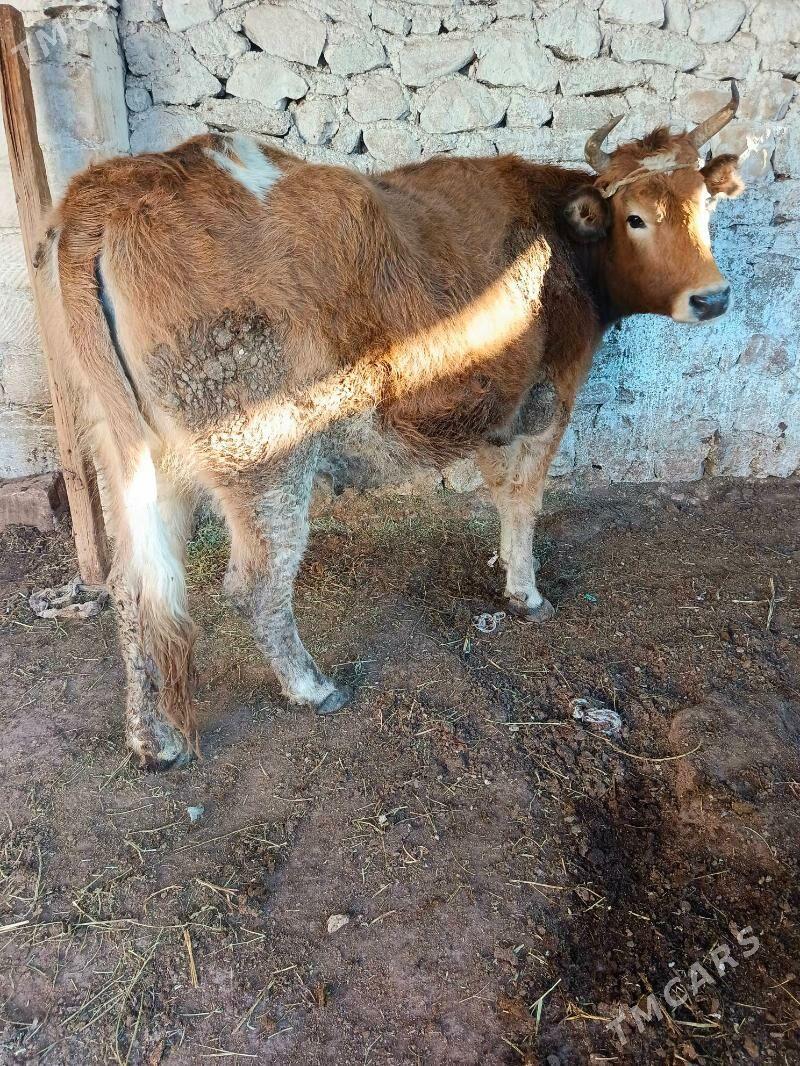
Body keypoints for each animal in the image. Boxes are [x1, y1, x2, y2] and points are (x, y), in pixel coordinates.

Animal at [39, 84, 744, 770]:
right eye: (635, 218)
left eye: (706, 206)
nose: (713, 298)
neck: (556, 232)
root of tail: (114, 187)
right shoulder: (546, 396)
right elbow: (523, 499)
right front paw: (526, 591)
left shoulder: (494, 407)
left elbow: (499, 491)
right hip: (260, 449)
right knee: (254, 582)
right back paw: (310, 687)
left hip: (139, 456)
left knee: (135, 587)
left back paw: (150, 739)